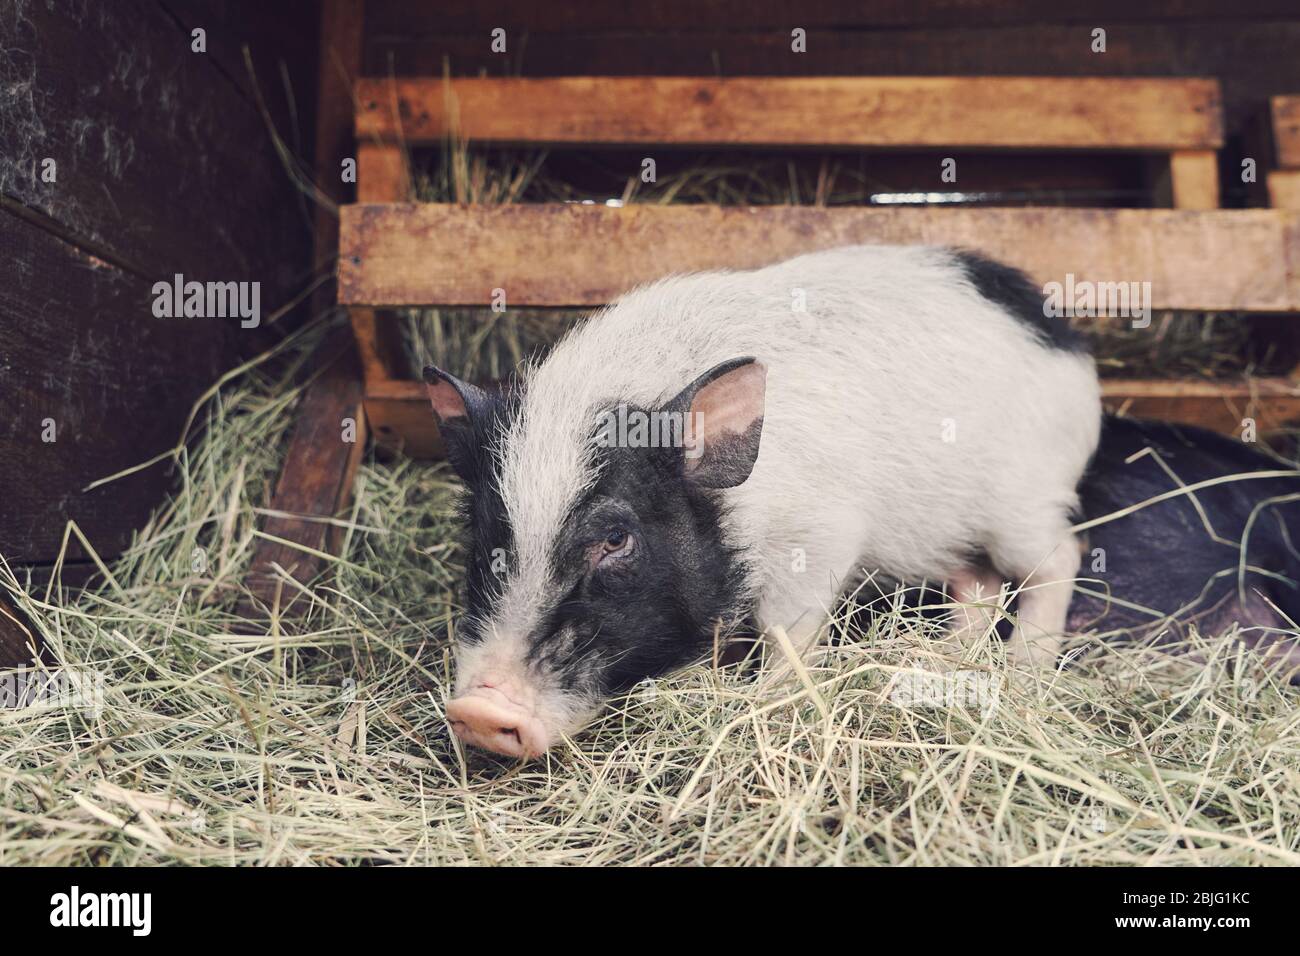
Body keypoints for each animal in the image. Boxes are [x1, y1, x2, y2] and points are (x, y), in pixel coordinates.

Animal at [423, 244, 1097, 754]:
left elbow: (787, 632)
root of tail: (1062, 341)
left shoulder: (820, 535)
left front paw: (767, 702)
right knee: (977, 582)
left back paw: (1027, 673)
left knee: (1059, 556)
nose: (479, 712)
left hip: (1021, 501)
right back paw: (948, 660)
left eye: (616, 539)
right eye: (486, 533)